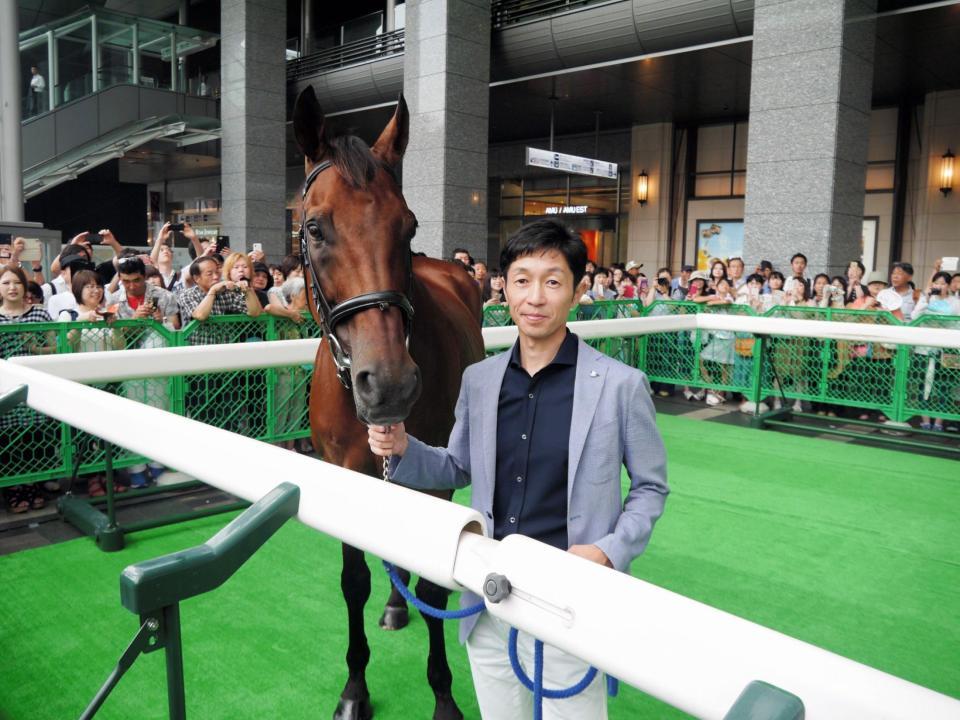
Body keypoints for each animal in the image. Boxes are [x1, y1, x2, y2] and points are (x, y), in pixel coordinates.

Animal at [292, 88, 484, 720]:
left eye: (409, 225)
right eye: (315, 228)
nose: (390, 385)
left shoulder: (438, 473)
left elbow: (433, 581)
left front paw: (444, 694)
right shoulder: (346, 472)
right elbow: (354, 581)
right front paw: (355, 688)